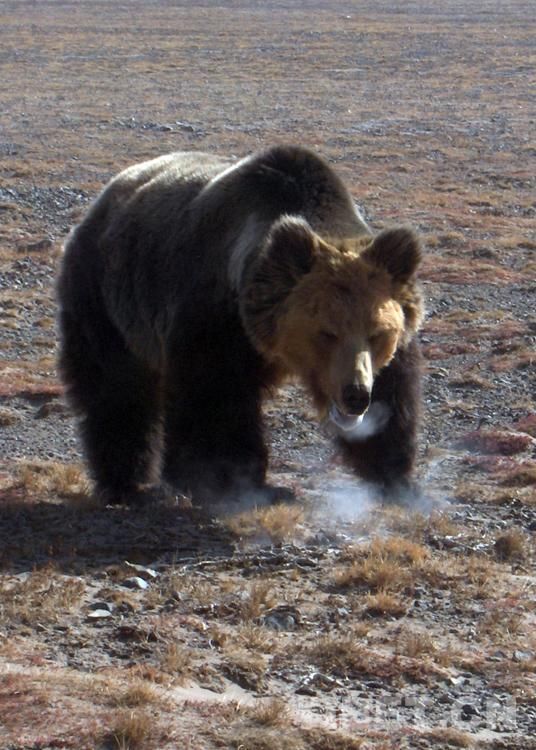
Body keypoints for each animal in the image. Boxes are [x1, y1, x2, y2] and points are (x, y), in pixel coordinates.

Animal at [58, 144, 426, 508]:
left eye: (377, 334)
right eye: (326, 333)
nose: (355, 395)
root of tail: (103, 199)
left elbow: (393, 400)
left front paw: (396, 477)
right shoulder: (214, 321)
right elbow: (213, 399)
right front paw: (225, 478)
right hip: (107, 295)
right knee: (116, 387)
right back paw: (123, 481)